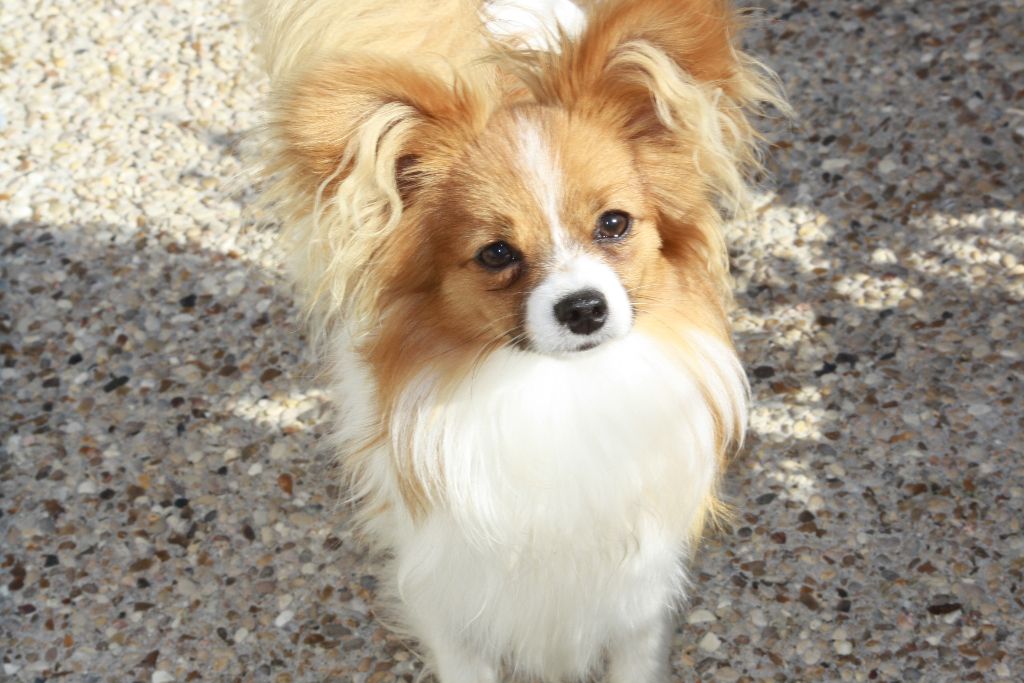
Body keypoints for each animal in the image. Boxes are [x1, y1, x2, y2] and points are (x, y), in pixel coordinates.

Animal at [245, 2, 782, 679]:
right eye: (496, 253)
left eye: (614, 224)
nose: (584, 307)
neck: (558, 391)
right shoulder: (450, 593)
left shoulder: (638, 594)